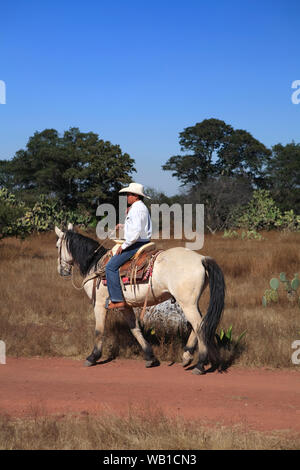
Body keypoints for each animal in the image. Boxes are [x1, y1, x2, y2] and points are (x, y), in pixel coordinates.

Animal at [54, 223, 225, 374]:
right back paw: (189, 356)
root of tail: (202, 259)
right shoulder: (124, 306)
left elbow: (99, 330)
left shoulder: (99, 304)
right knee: (201, 324)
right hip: (191, 303)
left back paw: (200, 364)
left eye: (57, 246)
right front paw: (150, 357)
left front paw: (92, 357)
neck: (95, 264)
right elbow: (135, 329)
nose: (62, 271)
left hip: (187, 304)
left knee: (199, 326)